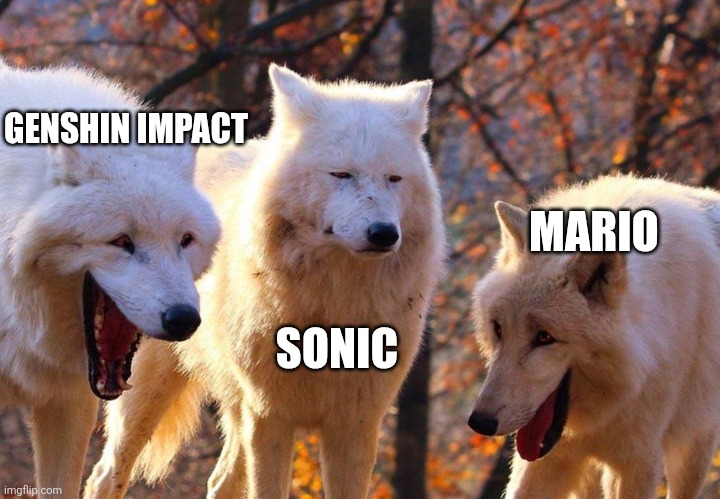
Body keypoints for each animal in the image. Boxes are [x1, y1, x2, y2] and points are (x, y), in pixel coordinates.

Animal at [85, 64, 446, 498]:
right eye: (341, 174)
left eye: (394, 179)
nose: (384, 234)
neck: (334, 308)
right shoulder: (269, 415)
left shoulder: (356, 423)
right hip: (148, 392)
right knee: (105, 475)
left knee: (220, 480)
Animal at [468, 175, 720, 498]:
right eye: (499, 329)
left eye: (545, 337)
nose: (480, 422)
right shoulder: (545, 459)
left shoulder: (637, 463)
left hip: (692, 451)